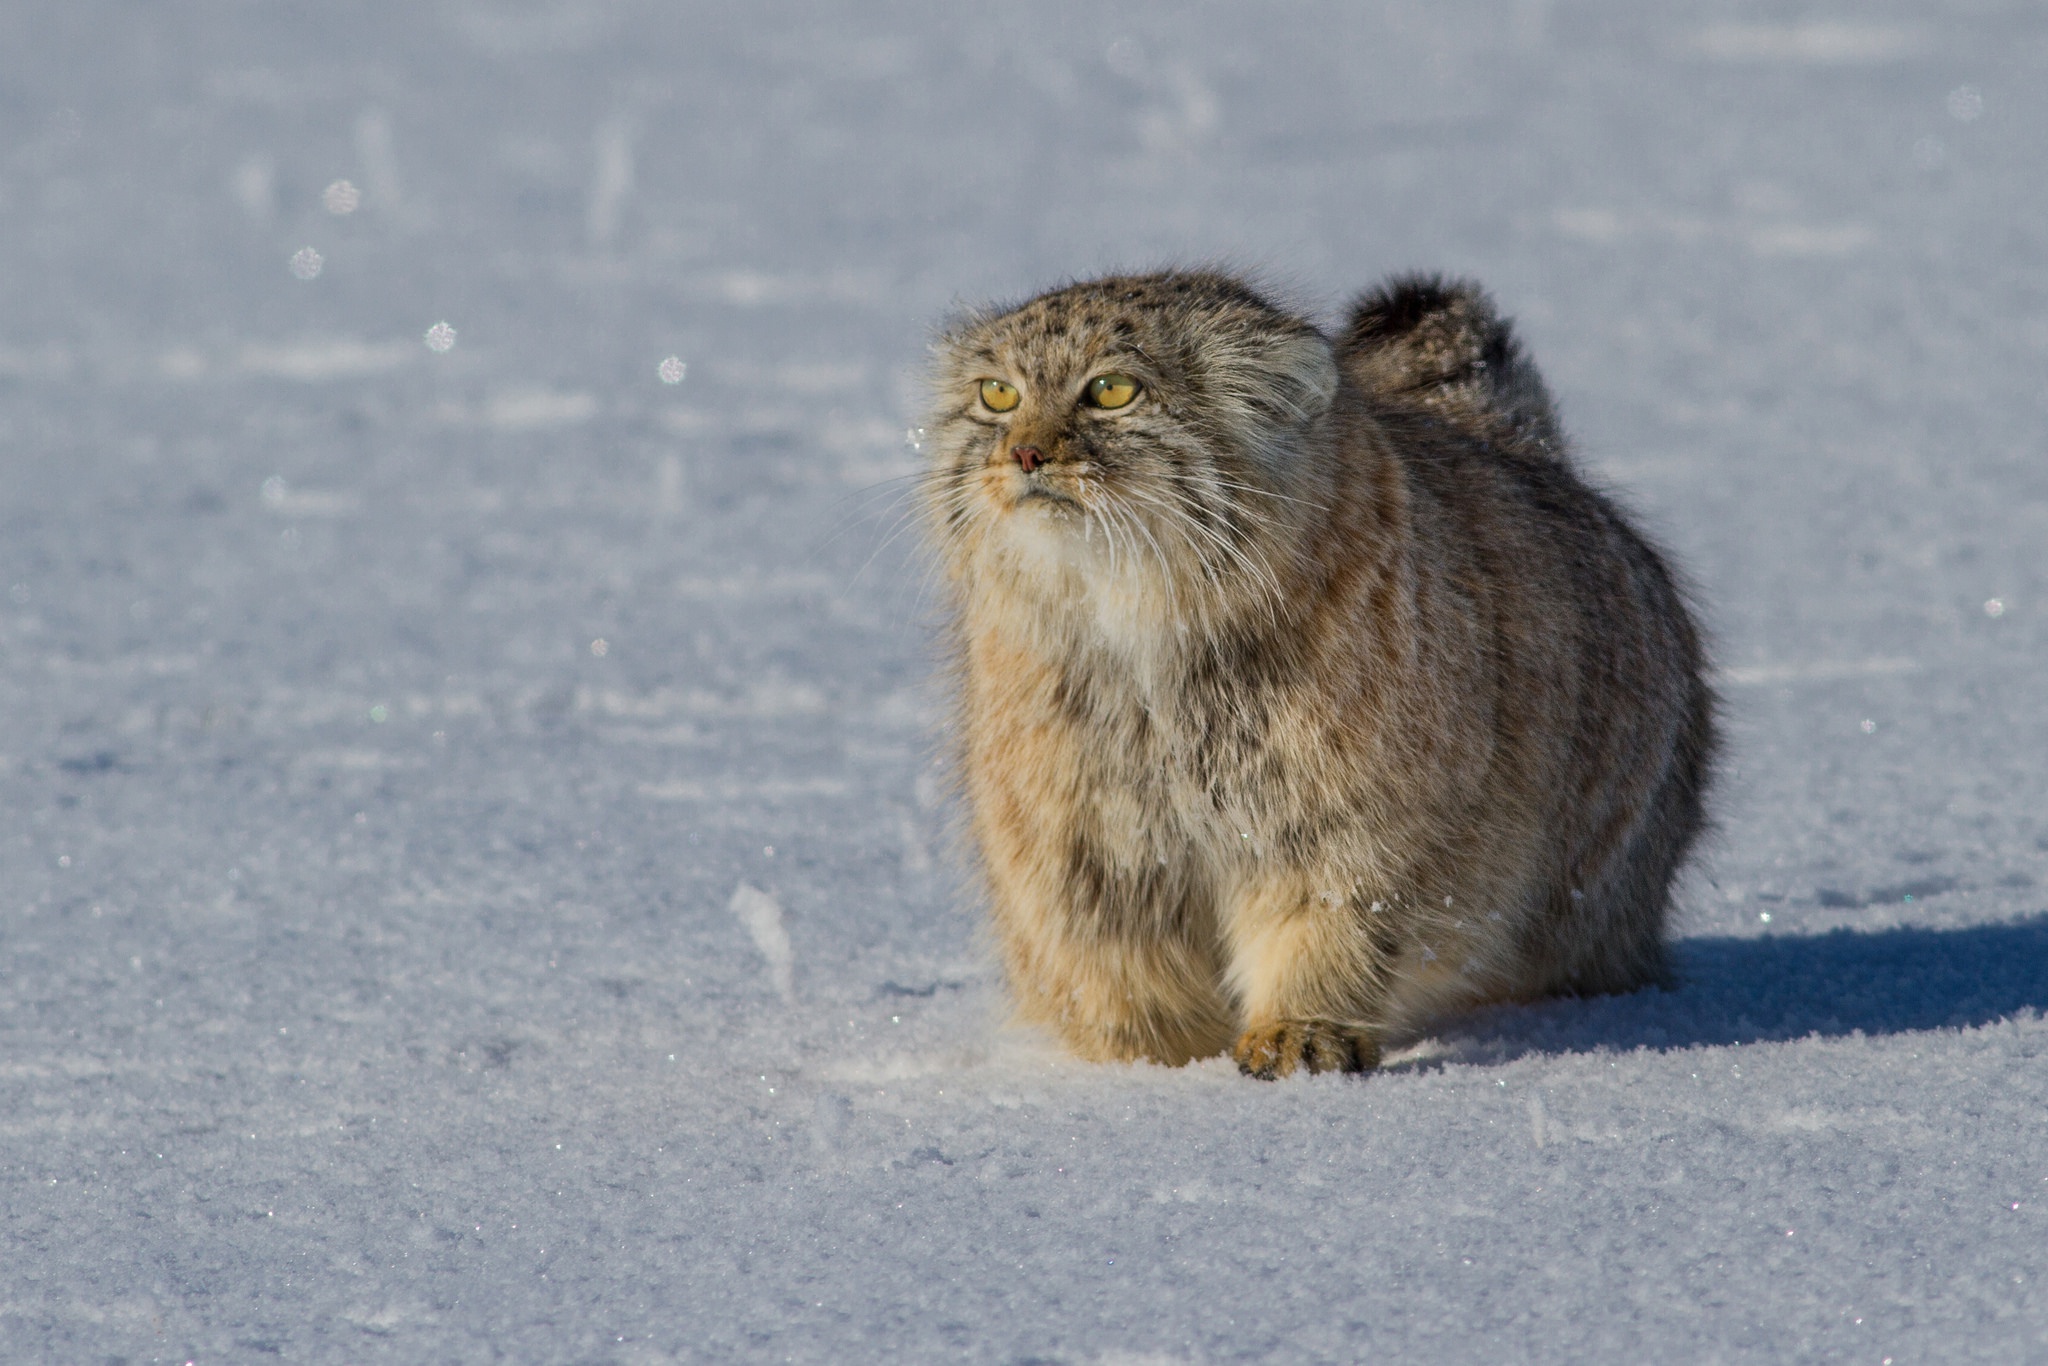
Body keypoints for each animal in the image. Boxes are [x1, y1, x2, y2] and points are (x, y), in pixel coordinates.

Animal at [917, 270, 1712, 1081]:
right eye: (997, 394)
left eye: (1111, 391)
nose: (1022, 454)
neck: (1145, 649)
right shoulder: (1079, 848)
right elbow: (1116, 970)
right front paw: (1151, 1069)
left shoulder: (1353, 821)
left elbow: (1331, 923)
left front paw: (1300, 1033)